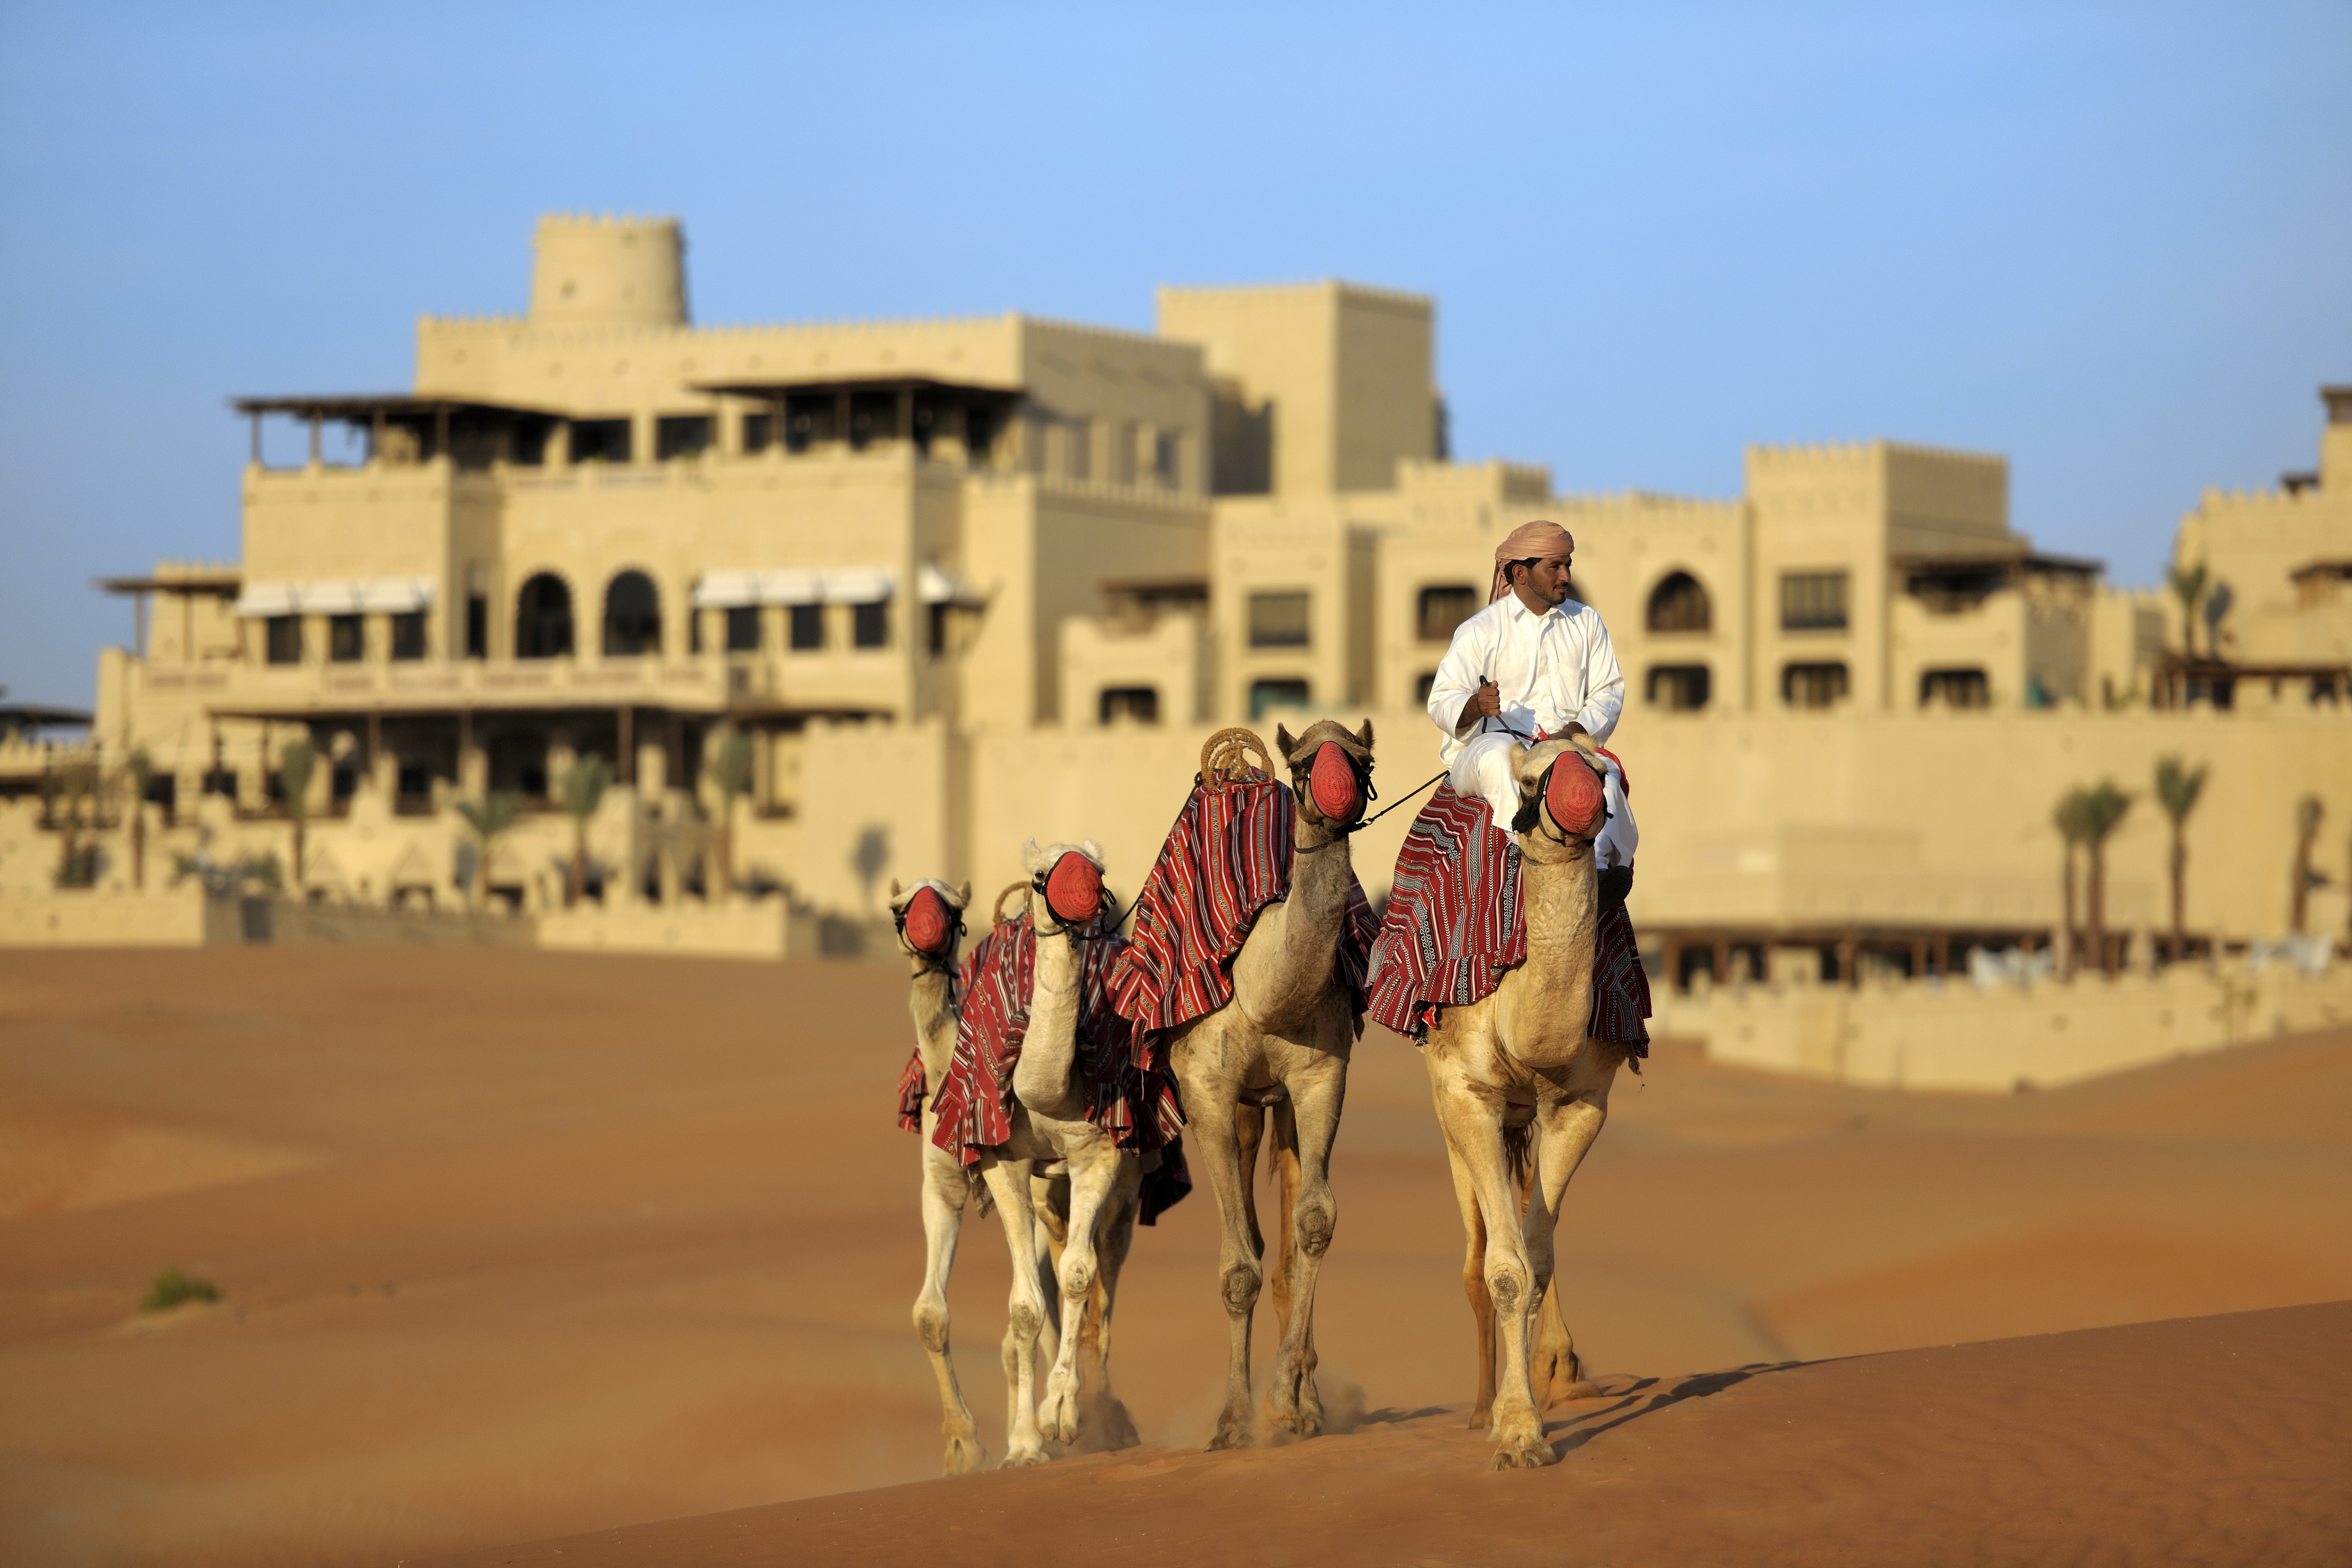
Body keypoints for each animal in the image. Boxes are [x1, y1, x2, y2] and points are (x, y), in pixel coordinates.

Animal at [1161, 719, 1373, 1457]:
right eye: (1304, 763)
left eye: (1363, 758)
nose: (1338, 797)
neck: (1260, 988)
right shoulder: (1207, 1090)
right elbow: (1237, 1267)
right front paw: (1231, 1421)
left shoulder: (1320, 1076)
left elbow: (1314, 1223)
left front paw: (1287, 1399)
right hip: (1238, 1110)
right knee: (1251, 1242)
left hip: (1277, 1108)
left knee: (1283, 1242)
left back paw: (1306, 1404)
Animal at [1411, 738, 1637, 1476]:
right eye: (1535, 778)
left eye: (1602, 772)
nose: (1581, 802)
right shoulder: (1468, 1096)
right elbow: (1505, 1269)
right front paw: (1511, 1430)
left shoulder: (1581, 1105)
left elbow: (1537, 1259)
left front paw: (1532, 1416)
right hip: (1448, 1113)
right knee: (1475, 1253)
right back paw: (1481, 1407)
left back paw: (1560, 1369)